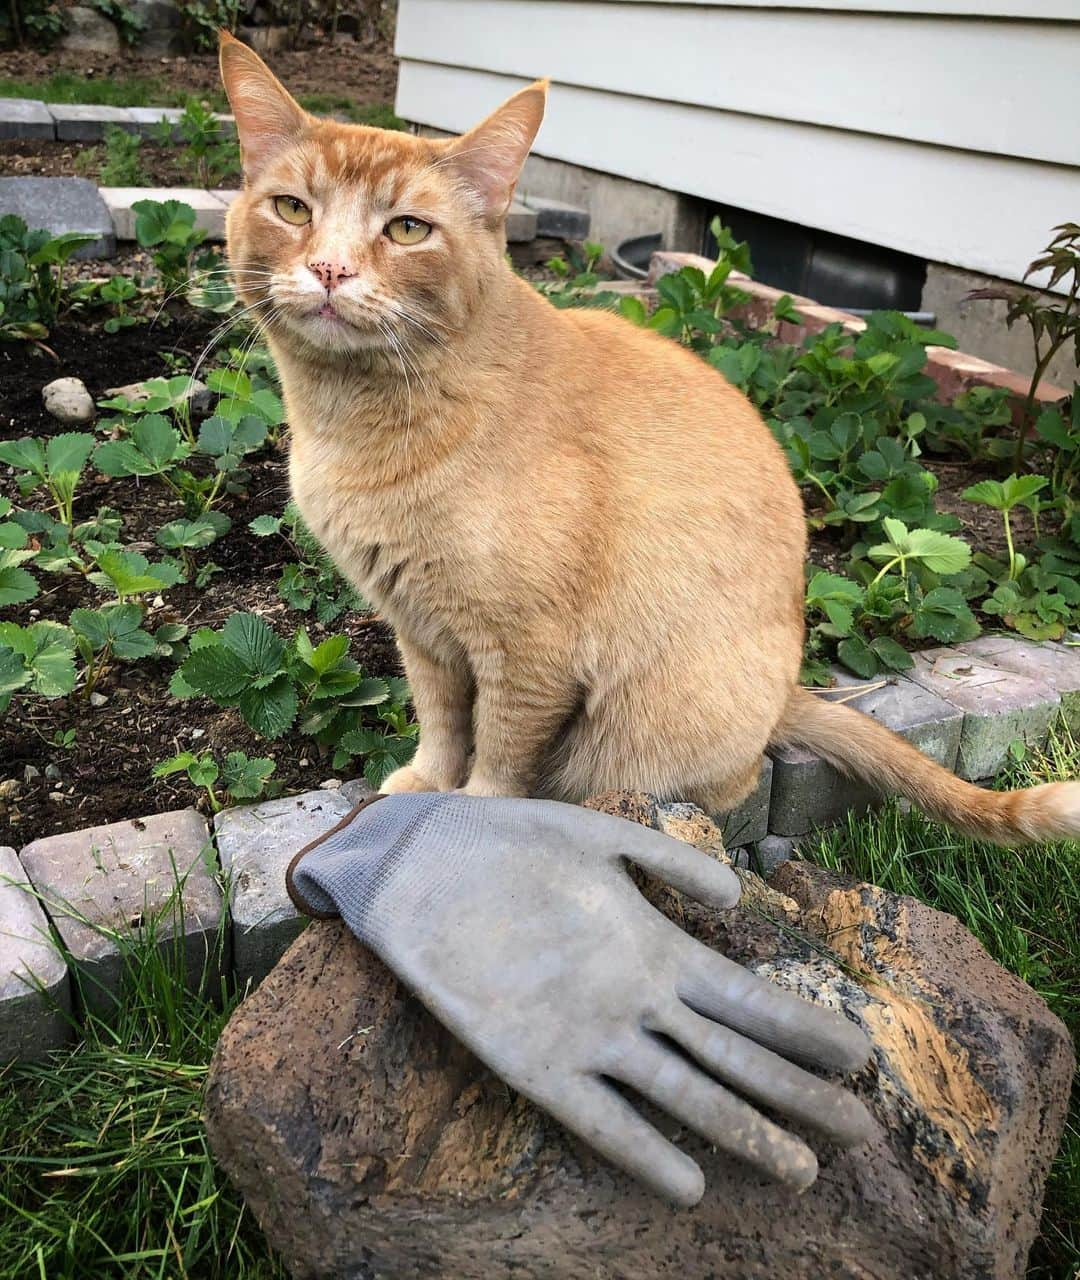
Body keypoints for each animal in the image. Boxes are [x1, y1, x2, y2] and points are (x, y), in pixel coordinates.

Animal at [217, 30, 1080, 844]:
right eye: (293, 209)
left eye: (406, 229)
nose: (331, 270)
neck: (356, 422)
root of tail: (785, 696)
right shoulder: (422, 633)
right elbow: (441, 723)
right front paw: (426, 784)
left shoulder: (525, 654)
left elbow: (499, 755)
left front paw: (470, 817)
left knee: (723, 782)